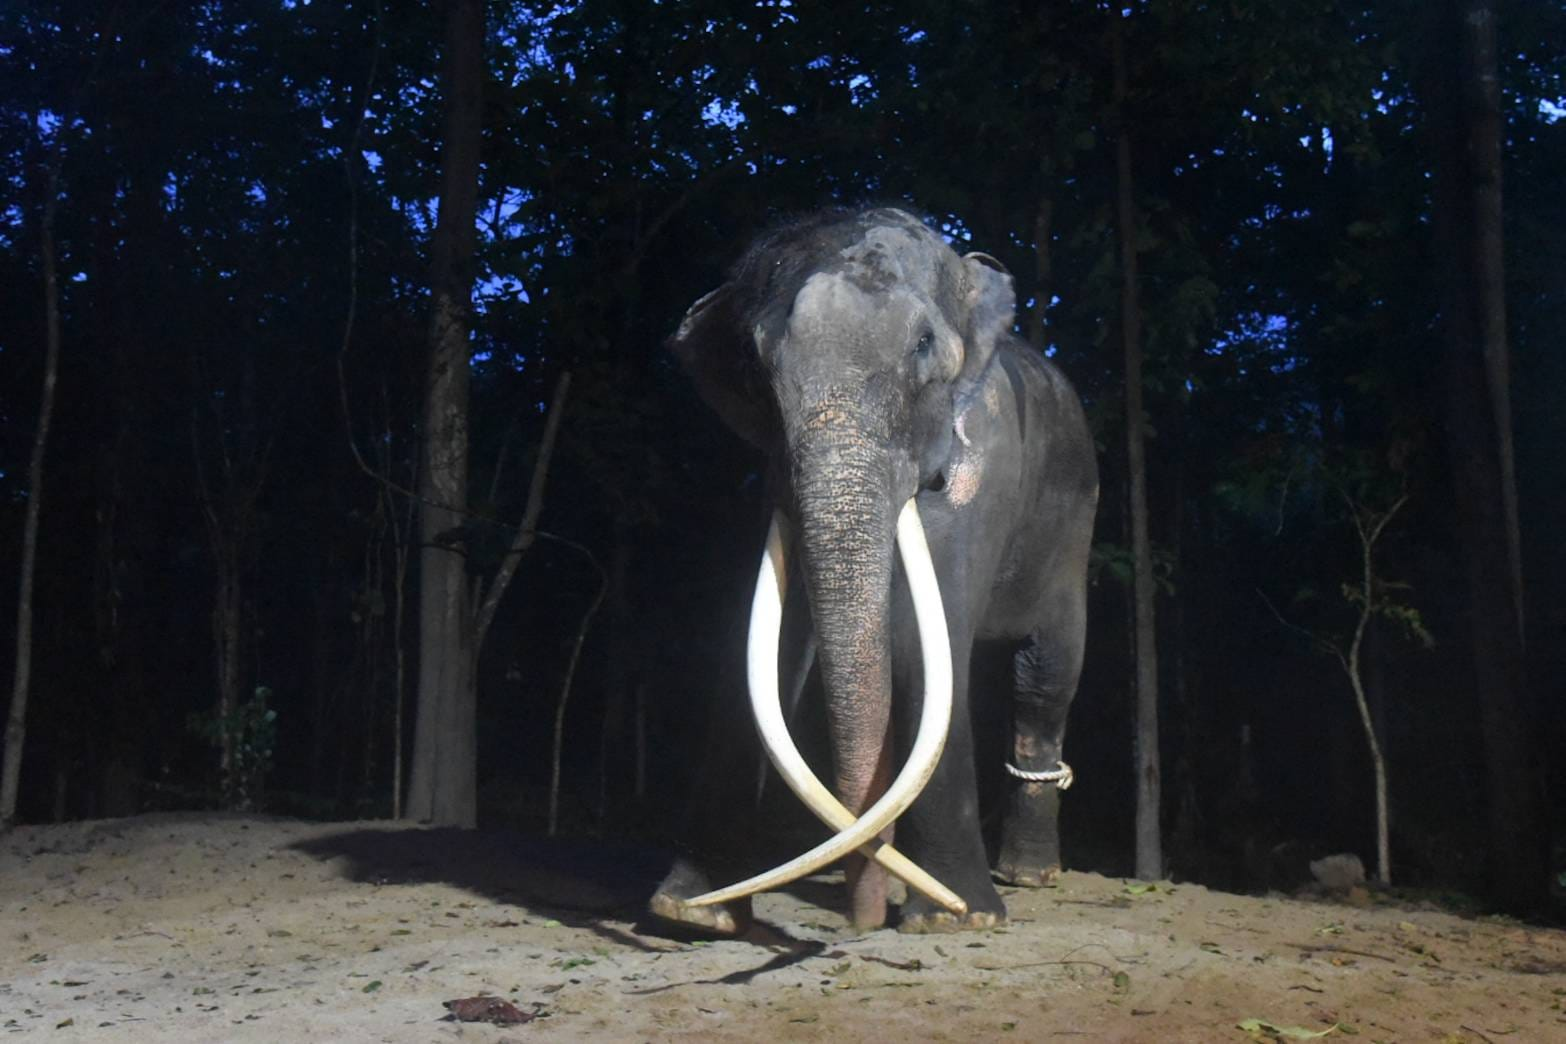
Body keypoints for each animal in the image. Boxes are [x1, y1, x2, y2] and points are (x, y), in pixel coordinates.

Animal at [651, 207, 1098, 934]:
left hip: (1072, 531)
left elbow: (919, 646)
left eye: (923, 346)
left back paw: (1026, 875)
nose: (861, 922)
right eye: (752, 362)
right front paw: (692, 911)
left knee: (1047, 677)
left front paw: (956, 917)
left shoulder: (980, 465)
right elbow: (766, 650)